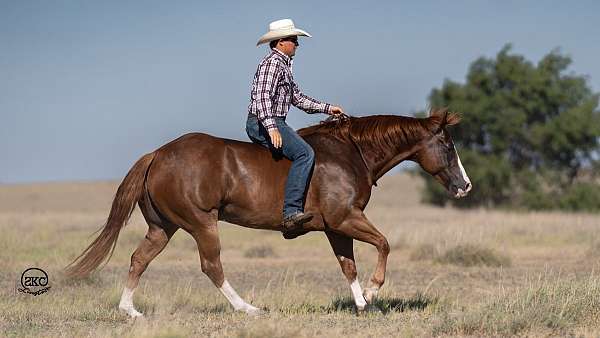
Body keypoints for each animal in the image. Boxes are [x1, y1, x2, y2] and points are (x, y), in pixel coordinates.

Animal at [64, 107, 468, 316]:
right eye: (448, 145)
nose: (465, 186)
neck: (351, 153)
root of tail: (158, 154)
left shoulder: (335, 228)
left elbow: (348, 266)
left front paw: (361, 303)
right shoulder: (346, 219)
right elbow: (383, 245)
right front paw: (373, 292)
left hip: (163, 228)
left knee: (138, 259)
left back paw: (129, 311)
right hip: (202, 224)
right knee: (212, 266)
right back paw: (249, 309)